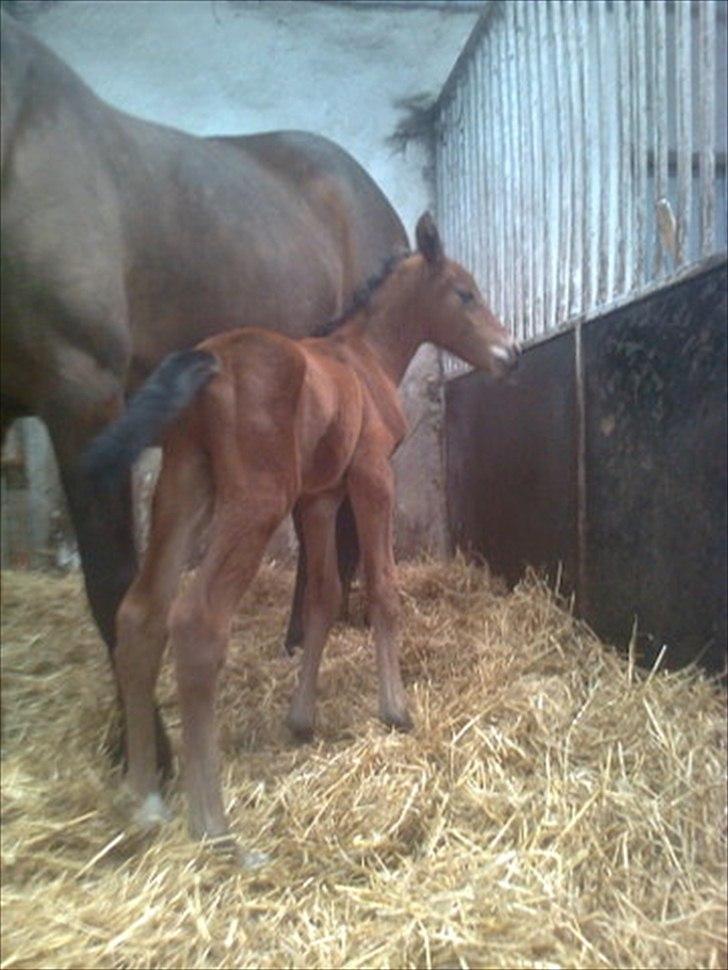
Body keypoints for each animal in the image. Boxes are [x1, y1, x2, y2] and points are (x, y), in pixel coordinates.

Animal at [84, 212, 516, 848]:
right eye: (464, 293)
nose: (511, 354)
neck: (363, 358)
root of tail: (209, 359)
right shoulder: (371, 476)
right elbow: (382, 588)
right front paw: (395, 709)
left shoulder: (319, 498)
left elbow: (323, 596)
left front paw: (302, 719)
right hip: (255, 501)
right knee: (197, 622)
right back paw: (212, 823)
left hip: (184, 488)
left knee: (141, 613)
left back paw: (143, 797)